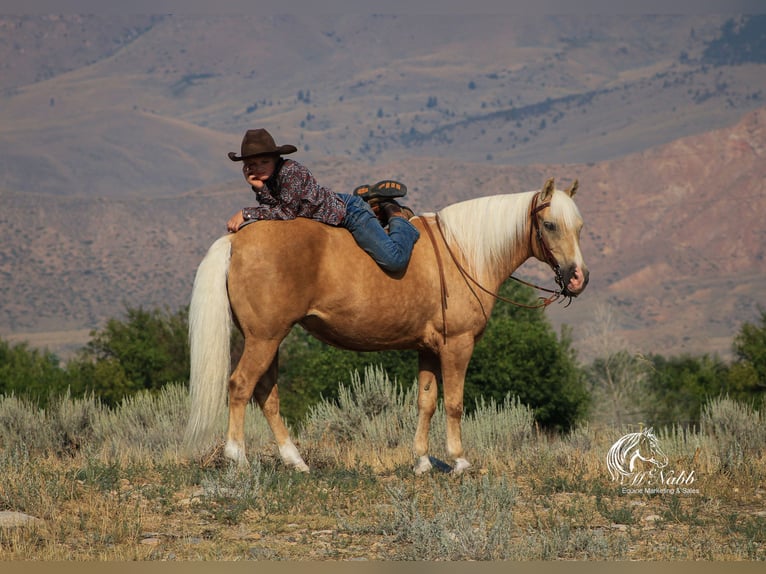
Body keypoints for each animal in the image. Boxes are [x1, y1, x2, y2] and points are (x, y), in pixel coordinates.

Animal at [183, 178, 592, 474]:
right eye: (550, 224)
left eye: (580, 227)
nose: (578, 278)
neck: (463, 253)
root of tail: (236, 240)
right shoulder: (457, 346)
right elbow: (454, 403)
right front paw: (459, 460)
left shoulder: (428, 348)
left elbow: (426, 402)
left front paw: (422, 462)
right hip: (264, 338)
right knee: (240, 386)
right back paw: (237, 458)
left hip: (267, 339)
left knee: (266, 394)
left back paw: (295, 461)